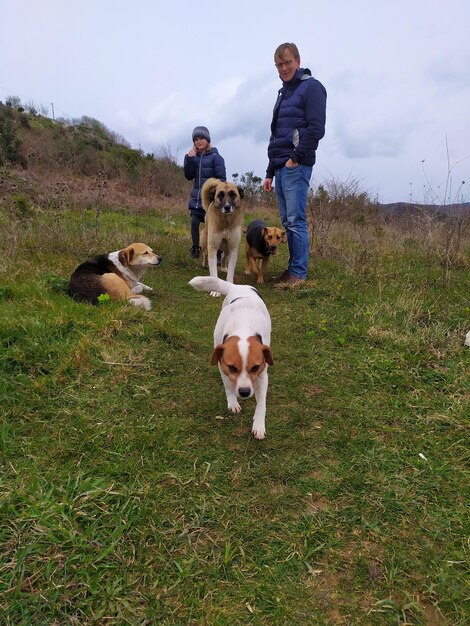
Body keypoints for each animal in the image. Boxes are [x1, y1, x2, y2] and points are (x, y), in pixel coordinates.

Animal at [189, 272, 274, 438]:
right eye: (232, 368)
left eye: (255, 368)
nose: (244, 392)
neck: (243, 328)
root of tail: (237, 286)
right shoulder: (222, 367)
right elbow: (228, 386)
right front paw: (233, 402)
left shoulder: (262, 375)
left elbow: (262, 403)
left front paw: (259, 424)